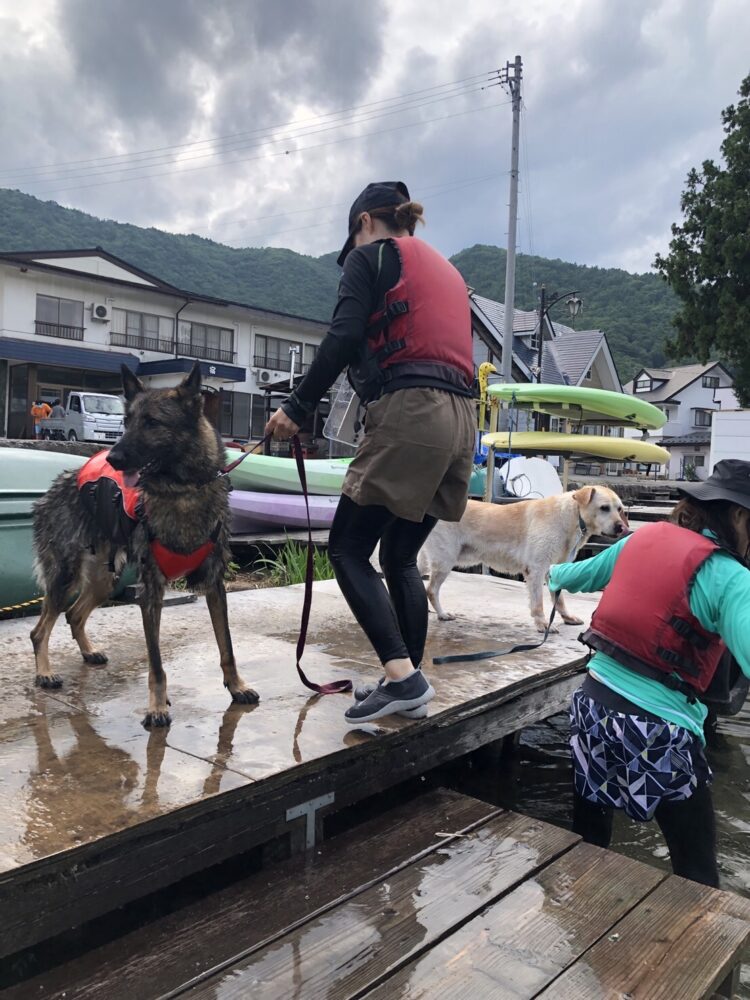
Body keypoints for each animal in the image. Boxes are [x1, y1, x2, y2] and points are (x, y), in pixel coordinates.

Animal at [30, 362, 260, 728]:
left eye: (152, 422)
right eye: (126, 422)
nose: (113, 456)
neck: (181, 492)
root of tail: (51, 490)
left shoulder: (214, 585)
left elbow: (227, 647)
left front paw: (236, 685)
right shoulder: (151, 592)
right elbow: (156, 662)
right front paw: (157, 706)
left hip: (105, 580)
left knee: (74, 614)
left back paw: (88, 652)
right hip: (66, 577)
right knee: (40, 630)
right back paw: (45, 673)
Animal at [420, 486, 632, 632]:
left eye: (620, 509)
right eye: (604, 508)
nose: (622, 528)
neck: (571, 517)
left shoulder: (556, 569)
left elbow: (559, 599)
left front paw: (567, 617)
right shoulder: (537, 569)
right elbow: (538, 602)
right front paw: (542, 623)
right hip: (445, 560)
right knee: (431, 590)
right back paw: (442, 614)